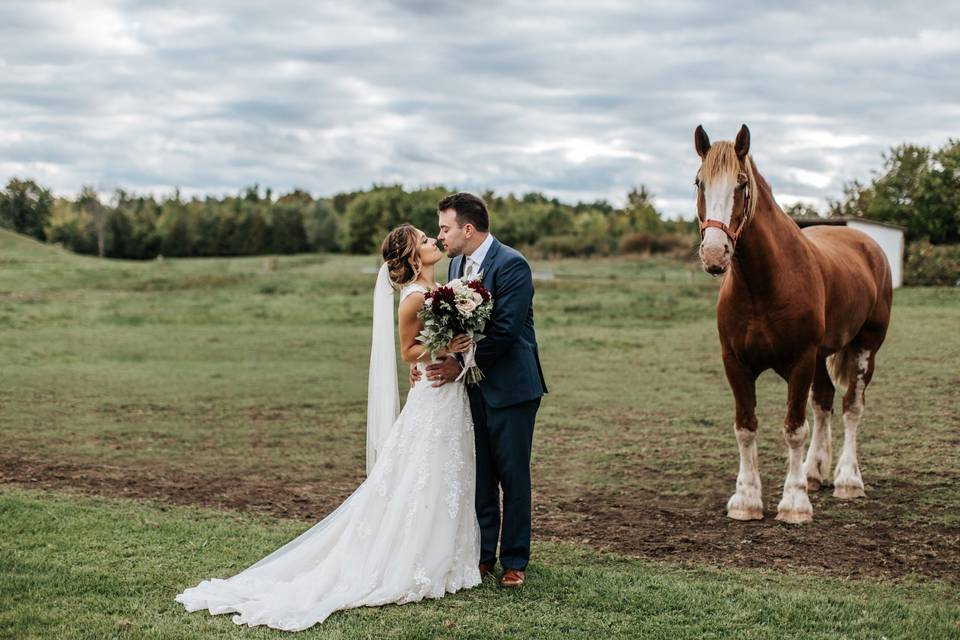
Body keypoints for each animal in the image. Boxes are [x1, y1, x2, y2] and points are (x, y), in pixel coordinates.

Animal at [688, 126, 892, 524]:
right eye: (699, 182)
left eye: (741, 183)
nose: (715, 254)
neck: (763, 284)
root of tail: (865, 243)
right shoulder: (735, 363)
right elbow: (746, 427)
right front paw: (746, 500)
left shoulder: (799, 362)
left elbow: (795, 429)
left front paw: (794, 503)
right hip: (821, 357)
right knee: (824, 402)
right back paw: (814, 473)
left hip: (865, 348)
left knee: (852, 408)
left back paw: (847, 480)